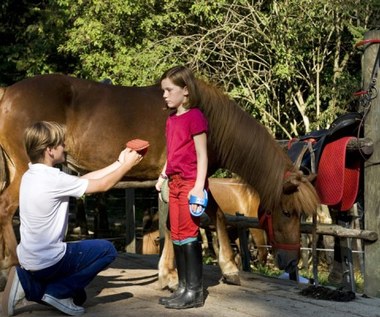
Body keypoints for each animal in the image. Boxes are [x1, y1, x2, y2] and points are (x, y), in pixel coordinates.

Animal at [0, 74, 320, 288]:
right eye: (287, 212)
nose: (291, 262)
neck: (207, 117)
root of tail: (7, 93)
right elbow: (174, 223)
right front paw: (173, 275)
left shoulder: (194, 181)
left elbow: (212, 215)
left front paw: (225, 268)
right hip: (27, 170)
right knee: (6, 207)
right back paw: (14, 264)